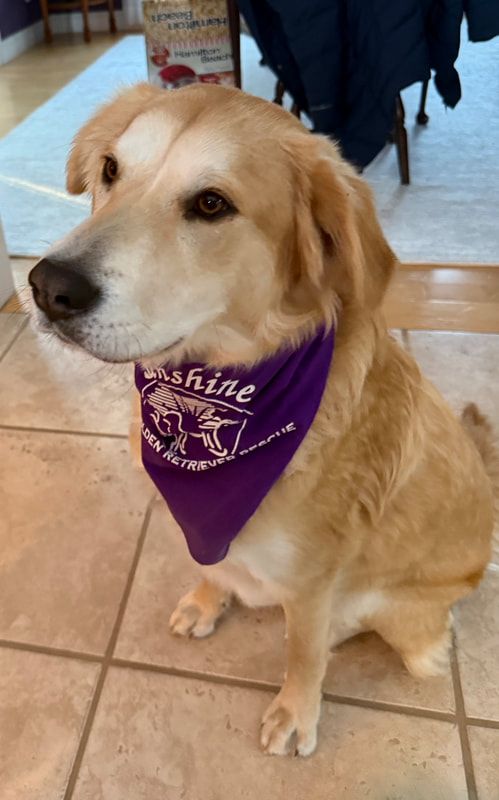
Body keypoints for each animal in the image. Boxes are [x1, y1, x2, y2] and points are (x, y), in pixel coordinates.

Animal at [28, 83, 497, 757]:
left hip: (411, 622)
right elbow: (212, 563)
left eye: (211, 204)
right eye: (111, 169)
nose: (47, 287)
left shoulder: (312, 580)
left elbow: (304, 649)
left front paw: (297, 710)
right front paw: (208, 599)